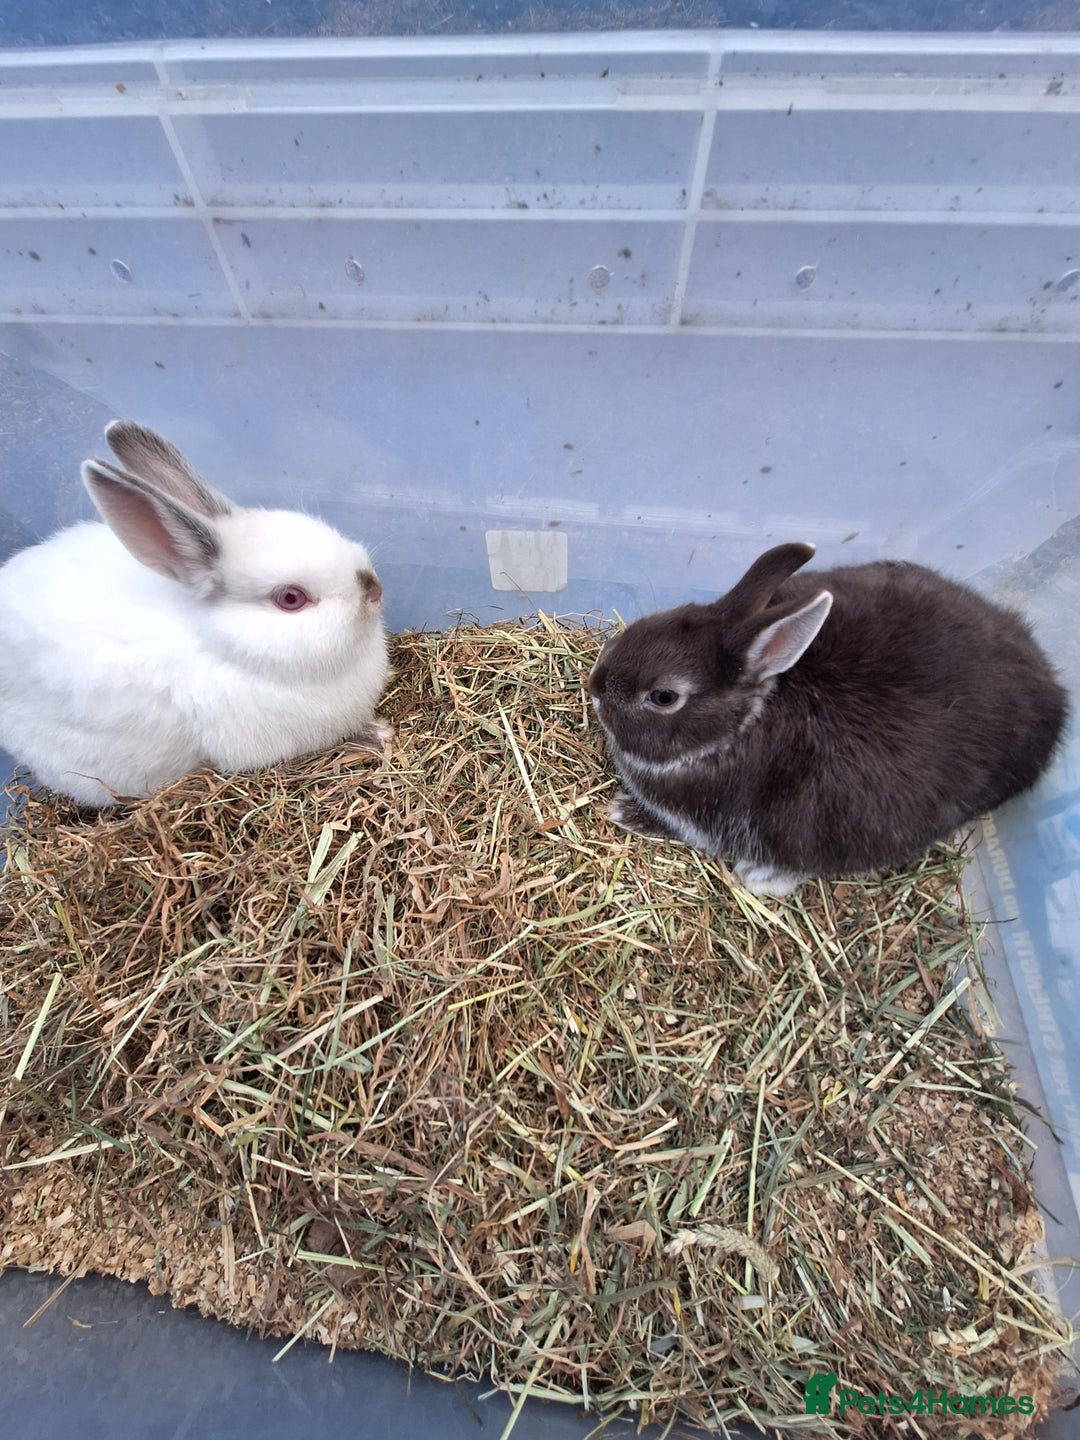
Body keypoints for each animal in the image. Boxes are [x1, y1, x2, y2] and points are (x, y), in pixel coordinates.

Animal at [587, 542, 1068, 897]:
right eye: (649, 623)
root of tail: (1052, 692)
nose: (595, 683)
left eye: (664, 697)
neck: (740, 728)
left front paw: (626, 813)